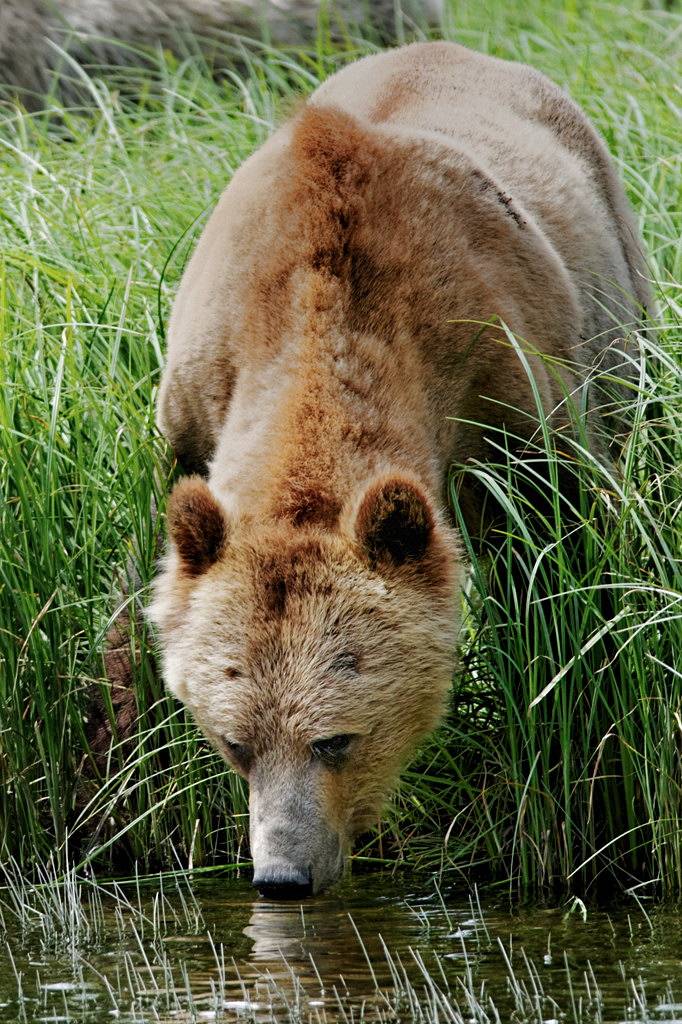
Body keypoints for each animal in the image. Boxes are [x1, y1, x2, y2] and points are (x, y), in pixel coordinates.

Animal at [147, 41, 647, 897]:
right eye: (234, 741)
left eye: (336, 739)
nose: (282, 874)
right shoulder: (197, 388)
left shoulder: (506, 387)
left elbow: (552, 579)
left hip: (618, 284)